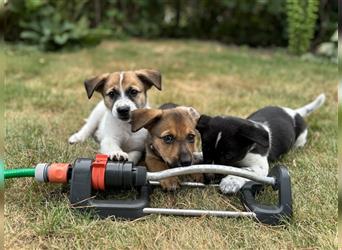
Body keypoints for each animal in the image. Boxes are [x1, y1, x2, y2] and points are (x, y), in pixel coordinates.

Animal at [196, 94, 324, 193]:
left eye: (228, 155)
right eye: (205, 149)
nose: (208, 178)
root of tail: (294, 112)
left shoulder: (261, 166)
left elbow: (244, 171)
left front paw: (230, 181)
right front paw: (196, 155)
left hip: (301, 138)